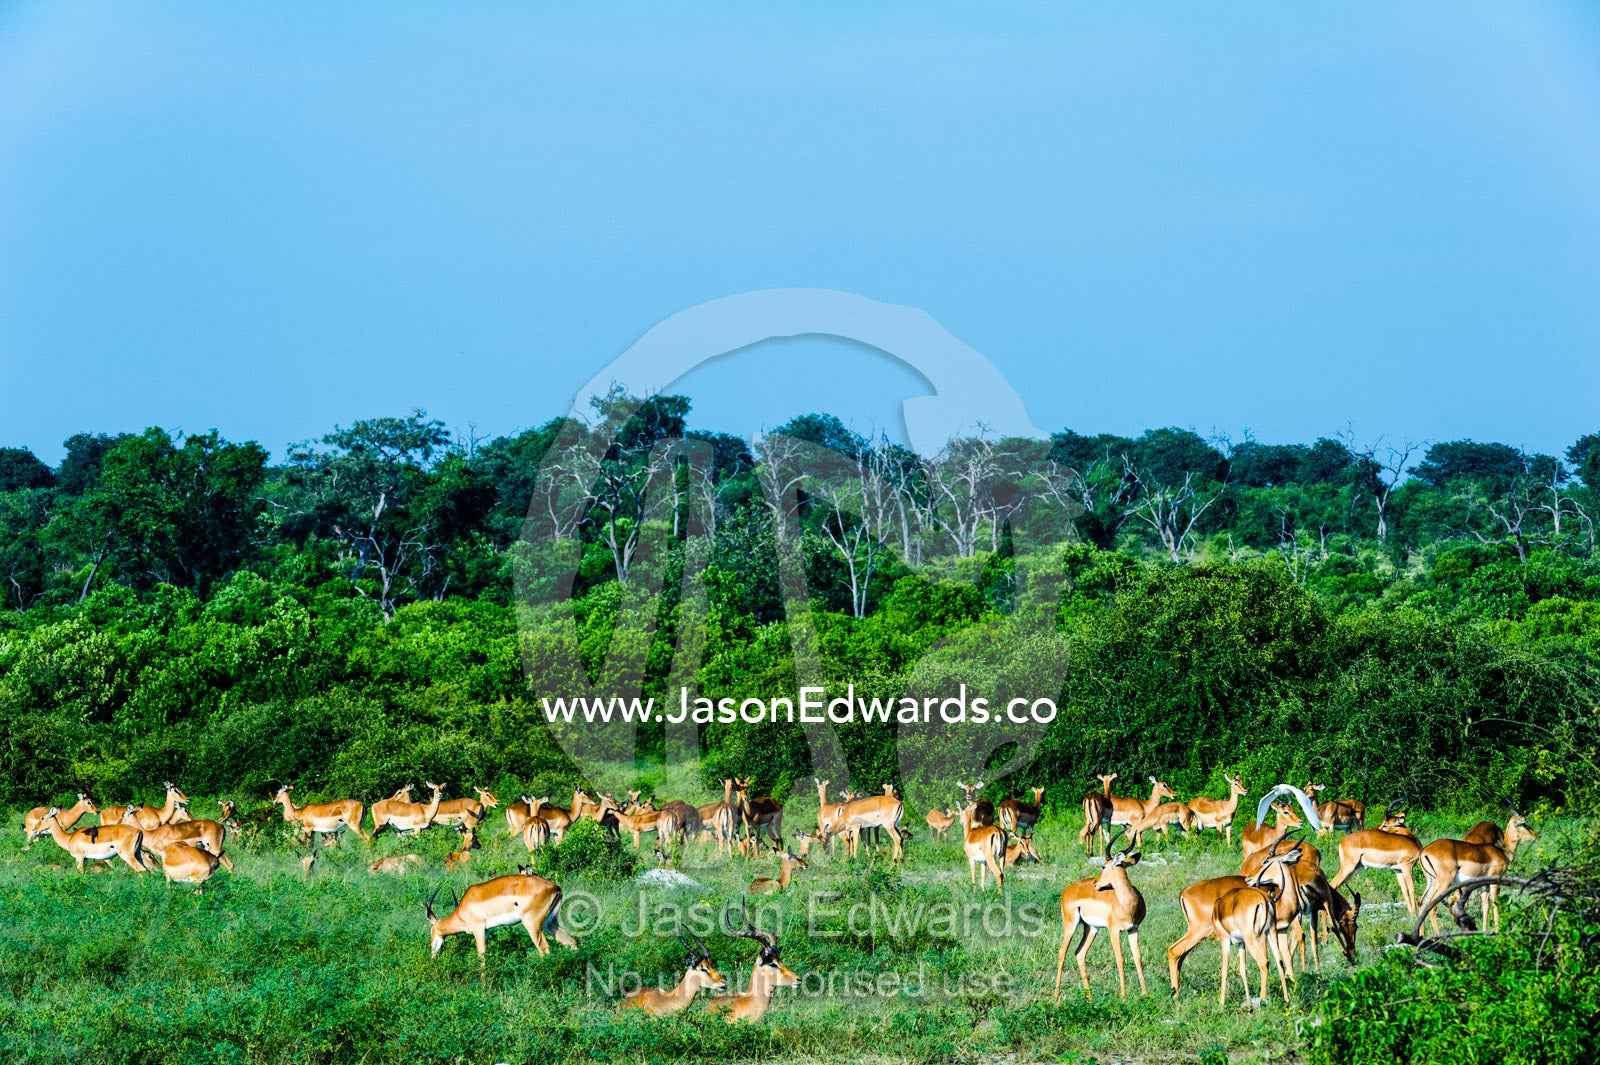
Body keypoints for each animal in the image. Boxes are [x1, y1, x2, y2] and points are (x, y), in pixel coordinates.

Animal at [425, 865, 577, 966]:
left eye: (431, 931)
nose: (432, 955)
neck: (461, 910)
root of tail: (555, 887)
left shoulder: (478, 929)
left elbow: (481, 957)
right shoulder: (486, 931)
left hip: (532, 925)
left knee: (544, 951)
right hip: (549, 924)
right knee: (572, 942)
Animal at [1054, 829, 1147, 1000]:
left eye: (1103, 866)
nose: (1096, 883)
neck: (1127, 903)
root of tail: (1067, 890)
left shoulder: (1133, 929)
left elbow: (1137, 957)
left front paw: (1145, 993)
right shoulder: (1114, 930)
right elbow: (1120, 959)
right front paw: (1124, 997)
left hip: (1091, 928)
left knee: (1079, 953)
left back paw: (1089, 998)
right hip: (1070, 925)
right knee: (1062, 952)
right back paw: (1056, 998)